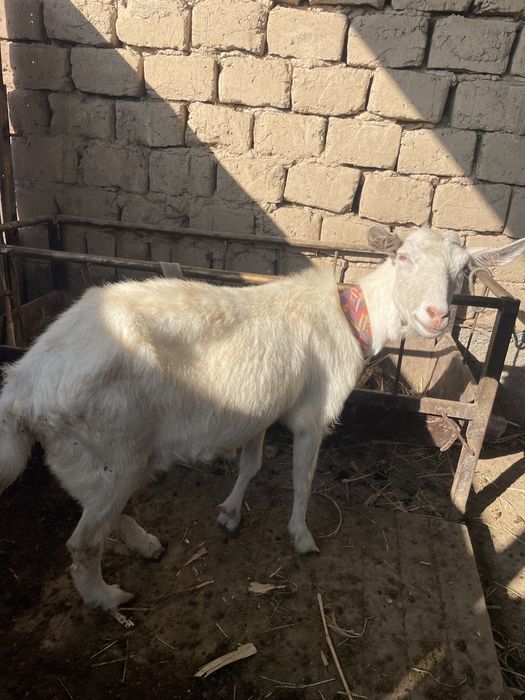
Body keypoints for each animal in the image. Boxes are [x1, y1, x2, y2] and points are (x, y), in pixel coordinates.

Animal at [0, 226, 523, 610]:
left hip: (98, 456)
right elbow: (302, 480)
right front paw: (302, 537)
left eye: (464, 271)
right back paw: (107, 597)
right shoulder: (312, 415)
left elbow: (250, 464)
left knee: (109, 509)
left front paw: (230, 514)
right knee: (84, 543)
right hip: (109, 447)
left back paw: (145, 544)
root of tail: (21, 388)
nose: (436, 316)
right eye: (404, 258)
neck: (350, 318)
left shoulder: (258, 410)